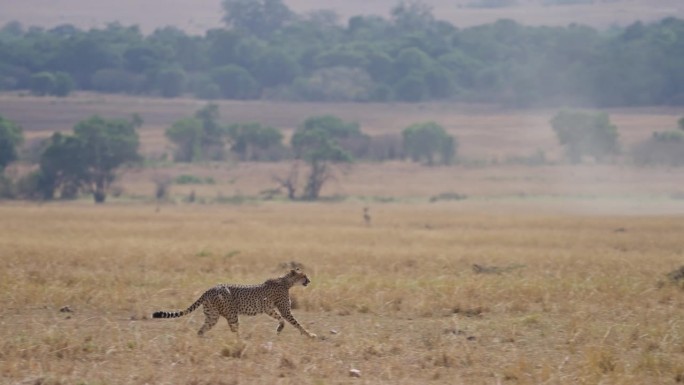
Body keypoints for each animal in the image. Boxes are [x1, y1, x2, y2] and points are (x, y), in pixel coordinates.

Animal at [152, 268, 316, 338]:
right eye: (304, 276)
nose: (309, 280)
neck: (286, 282)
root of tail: (211, 288)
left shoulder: (269, 309)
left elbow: (280, 319)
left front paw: (279, 328)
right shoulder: (285, 310)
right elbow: (296, 323)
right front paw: (309, 334)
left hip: (212, 315)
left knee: (202, 330)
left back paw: (203, 340)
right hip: (231, 313)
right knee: (234, 329)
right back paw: (242, 340)